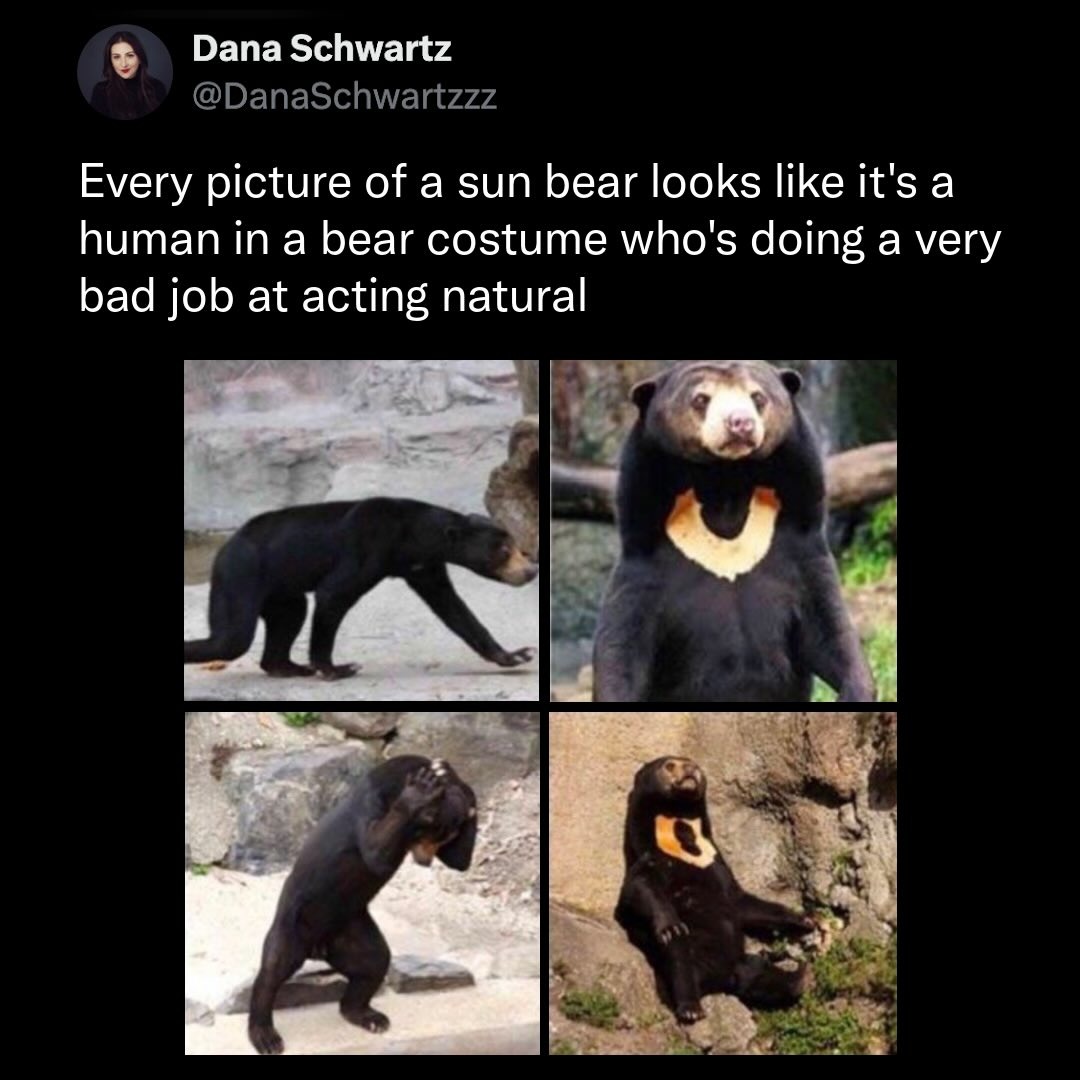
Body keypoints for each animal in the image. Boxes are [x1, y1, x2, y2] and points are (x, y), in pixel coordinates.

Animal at [184, 498, 538, 679]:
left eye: (515, 546)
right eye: (504, 550)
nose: (531, 570)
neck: (414, 536)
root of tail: (225, 547)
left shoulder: (425, 566)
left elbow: (452, 607)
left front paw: (516, 655)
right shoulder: (370, 544)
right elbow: (333, 593)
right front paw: (337, 667)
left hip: (278, 588)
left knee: (290, 615)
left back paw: (287, 667)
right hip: (241, 574)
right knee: (232, 638)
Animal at [248, 756, 477, 1055]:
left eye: (445, 837)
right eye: (426, 830)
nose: (425, 861)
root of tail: (318, 949)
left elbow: (458, 860)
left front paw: (452, 777)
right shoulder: (370, 804)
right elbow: (375, 850)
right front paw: (421, 788)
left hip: (351, 926)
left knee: (374, 962)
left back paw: (369, 1016)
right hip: (295, 923)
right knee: (273, 969)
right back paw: (265, 1036)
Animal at [593, 360, 875, 701]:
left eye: (758, 397)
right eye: (701, 399)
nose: (740, 423)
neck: (725, 481)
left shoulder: (798, 539)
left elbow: (827, 624)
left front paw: (857, 691)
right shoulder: (646, 551)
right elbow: (625, 642)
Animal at [615, 756, 814, 1023]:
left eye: (693, 764)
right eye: (670, 765)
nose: (691, 770)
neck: (677, 823)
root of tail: (720, 981)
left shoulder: (716, 863)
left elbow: (742, 901)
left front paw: (806, 920)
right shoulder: (652, 858)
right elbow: (639, 887)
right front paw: (670, 925)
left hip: (741, 961)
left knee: (760, 972)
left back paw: (801, 977)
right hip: (690, 953)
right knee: (681, 960)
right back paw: (691, 1009)